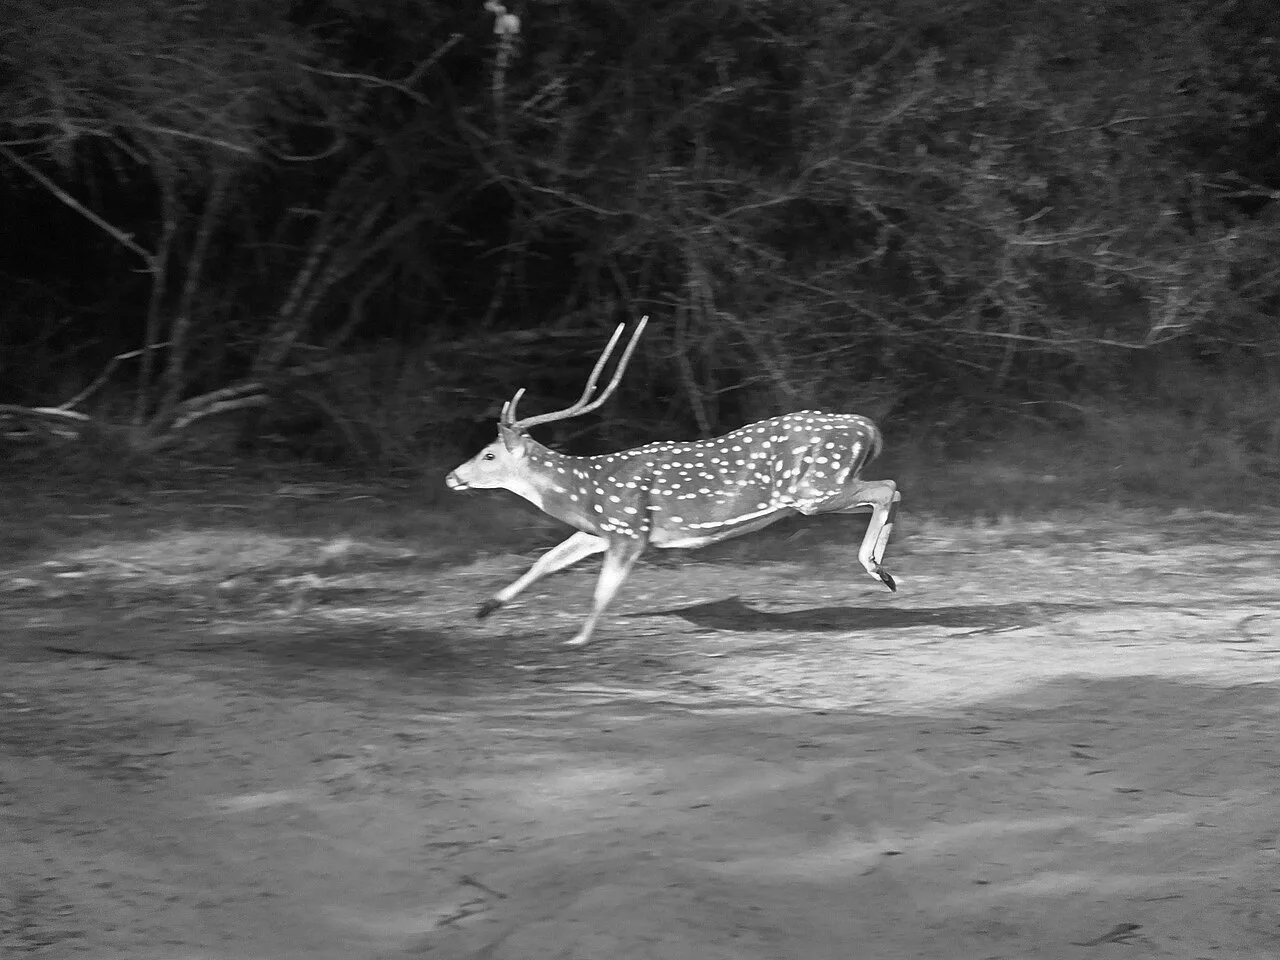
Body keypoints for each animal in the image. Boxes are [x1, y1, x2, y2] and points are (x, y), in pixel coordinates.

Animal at [445, 316, 901, 647]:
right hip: (823, 489)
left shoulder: (630, 530)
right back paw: (885, 572)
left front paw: (577, 640)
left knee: (888, 486)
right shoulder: (601, 530)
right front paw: (485, 608)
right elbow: (546, 561)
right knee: (889, 490)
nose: (452, 477)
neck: (584, 489)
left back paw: (877, 570)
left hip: (814, 490)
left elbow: (603, 590)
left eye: (488, 454)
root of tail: (868, 428)